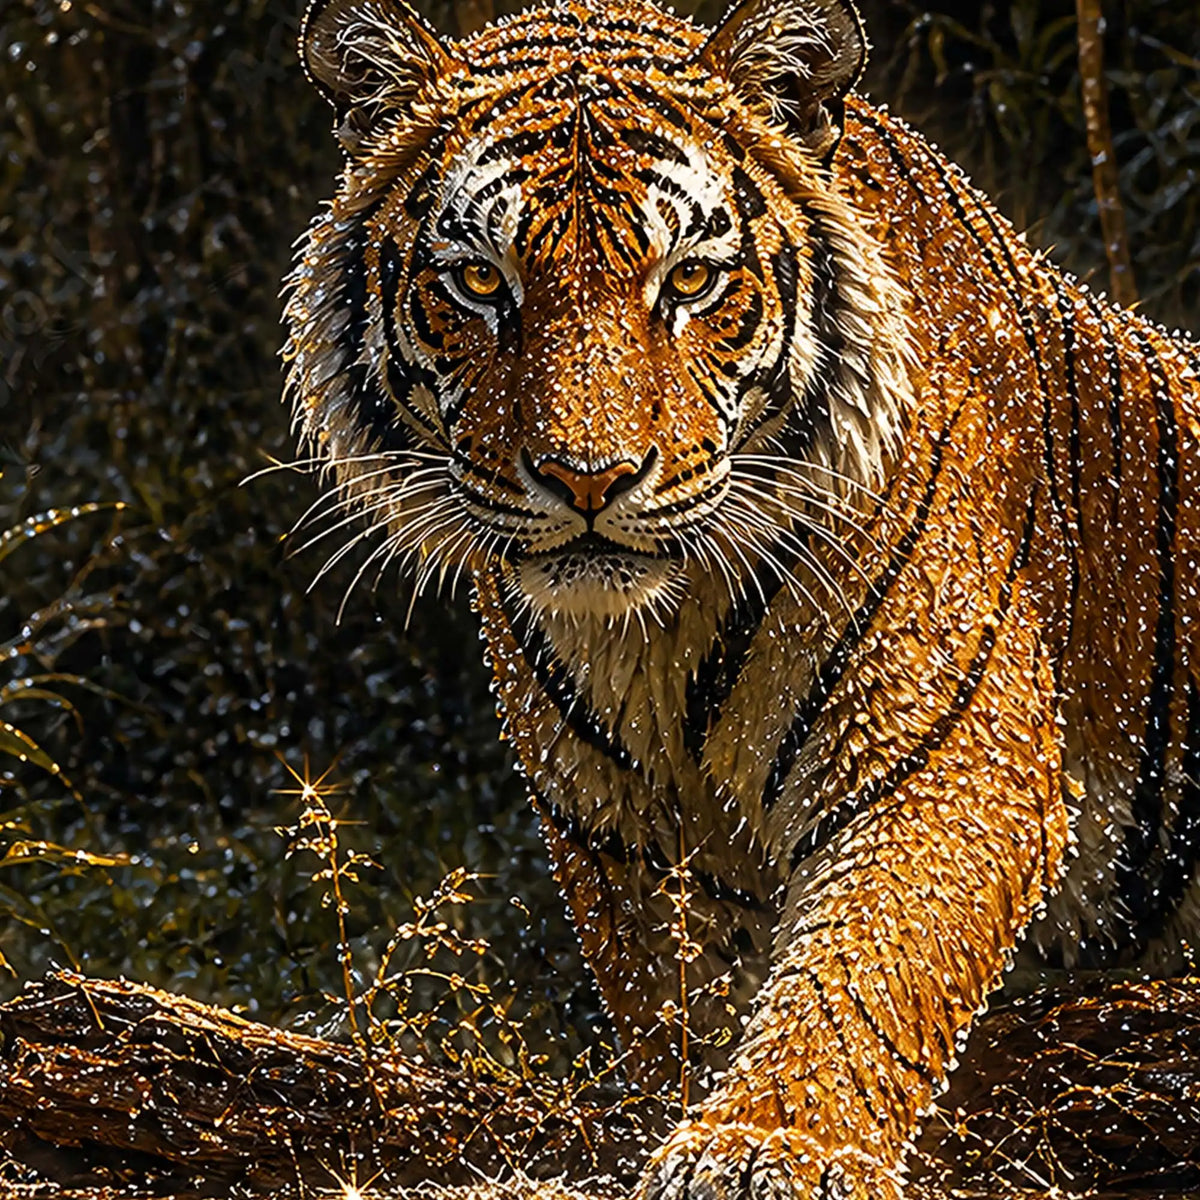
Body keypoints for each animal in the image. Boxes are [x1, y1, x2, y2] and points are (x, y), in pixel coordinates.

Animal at [282, 0, 1200, 1195]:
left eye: (687, 282)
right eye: (481, 284)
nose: (589, 479)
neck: (660, 631)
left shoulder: (946, 761)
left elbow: (865, 965)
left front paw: (767, 1144)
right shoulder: (626, 839)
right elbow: (685, 1010)